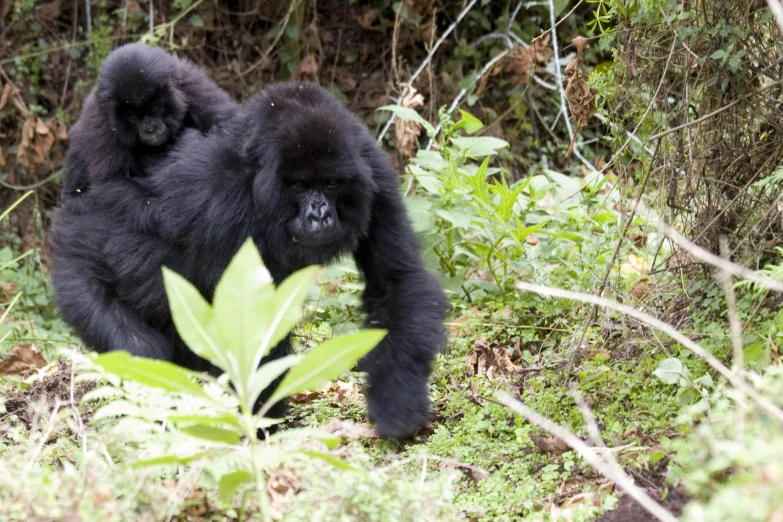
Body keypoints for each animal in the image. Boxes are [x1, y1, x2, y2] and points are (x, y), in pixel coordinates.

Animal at [52, 82, 448, 438]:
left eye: (332, 184)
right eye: (300, 186)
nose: (319, 215)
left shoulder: (373, 171)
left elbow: (396, 278)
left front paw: (398, 400)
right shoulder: (218, 197)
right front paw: (257, 430)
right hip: (74, 271)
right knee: (138, 345)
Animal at [61, 43, 236, 201]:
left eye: (154, 107)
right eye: (133, 116)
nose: (151, 128)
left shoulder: (187, 81)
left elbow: (224, 121)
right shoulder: (100, 123)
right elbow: (113, 185)